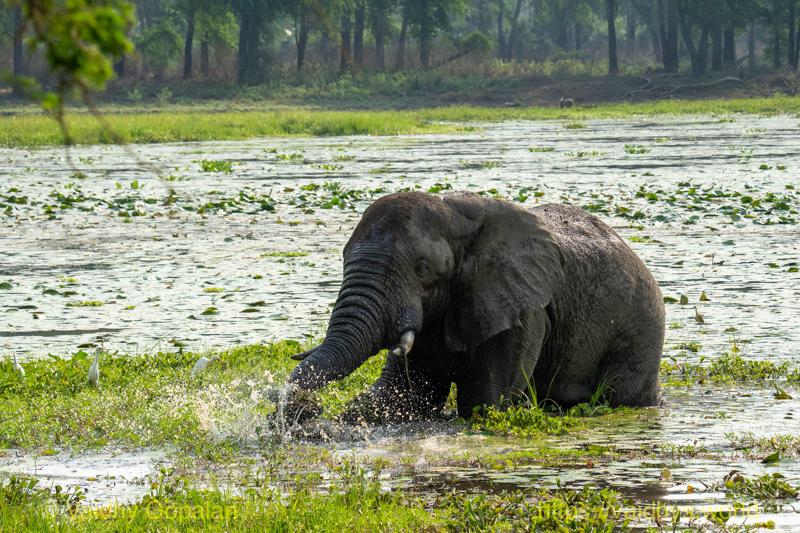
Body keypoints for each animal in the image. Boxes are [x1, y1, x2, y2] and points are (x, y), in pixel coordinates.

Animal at [286, 191, 665, 423]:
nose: (309, 407)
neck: (456, 214)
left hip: (641, 330)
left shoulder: (522, 310)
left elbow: (486, 402)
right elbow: (403, 402)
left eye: (422, 268)